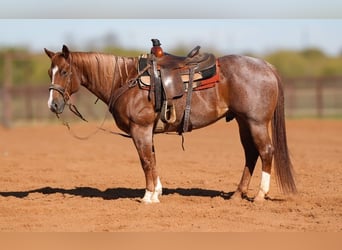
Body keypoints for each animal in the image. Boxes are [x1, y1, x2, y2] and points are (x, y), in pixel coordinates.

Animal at [44, 44, 296, 203]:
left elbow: (145, 161)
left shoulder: (140, 130)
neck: (126, 80)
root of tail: (265, 66)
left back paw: (260, 196)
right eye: (50, 72)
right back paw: (237, 194)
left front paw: (148, 197)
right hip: (243, 122)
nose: (53, 105)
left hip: (256, 122)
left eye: (64, 71)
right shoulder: (147, 132)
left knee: (266, 152)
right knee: (251, 154)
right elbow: (153, 160)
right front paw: (157, 192)